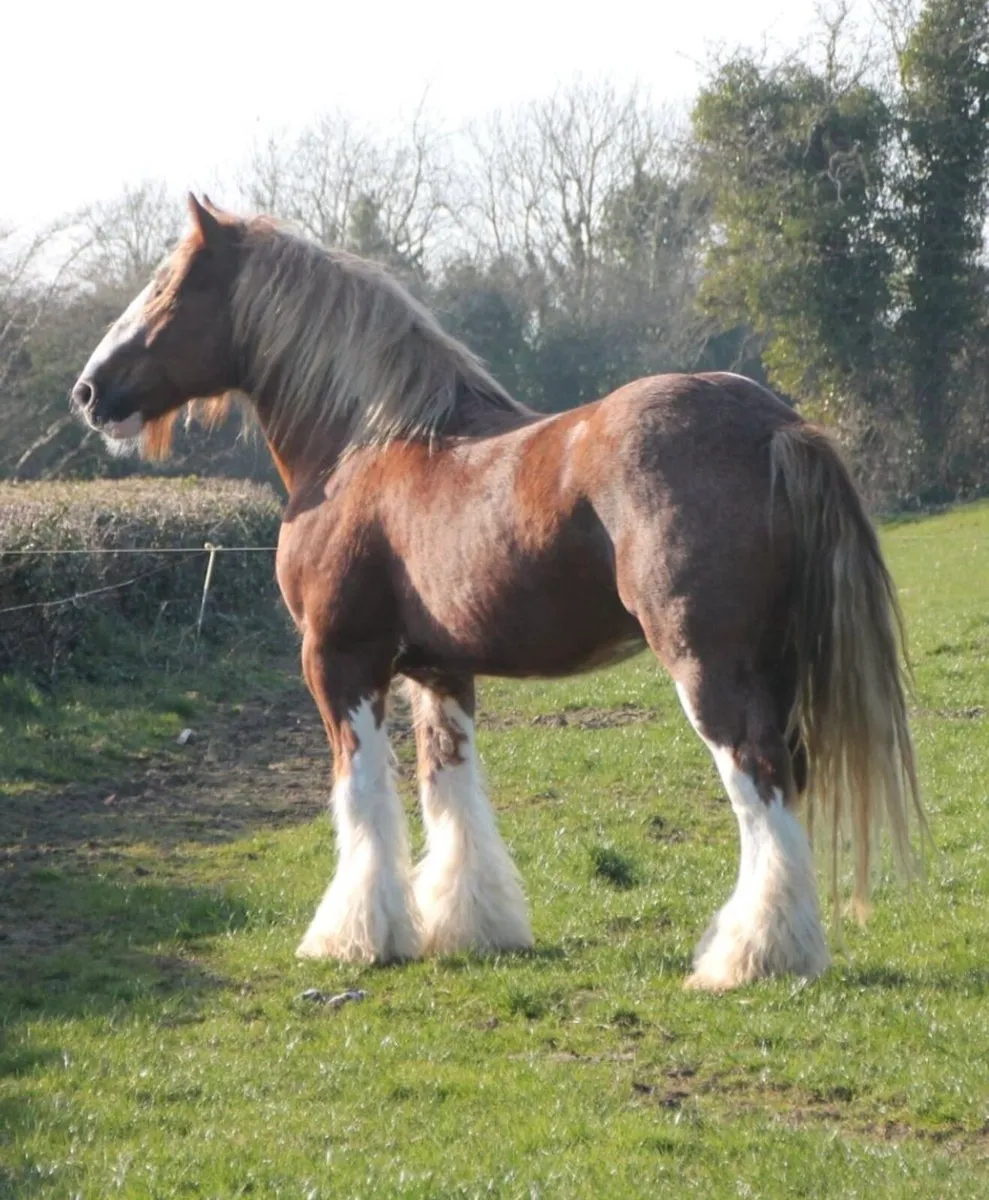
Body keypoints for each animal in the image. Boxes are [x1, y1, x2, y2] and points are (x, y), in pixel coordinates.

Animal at [70, 195, 924, 990]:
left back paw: (749, 957)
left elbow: (363, 797)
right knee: (784, 783)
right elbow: (449, 790)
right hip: (774, 665)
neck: (363, 446)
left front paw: (354, 937)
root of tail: (774, 422)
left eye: (167, 285)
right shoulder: (438, 670)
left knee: (756, 780)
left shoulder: (339, 661)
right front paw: (468, 927)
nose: (88, 391)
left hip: (705, 665)